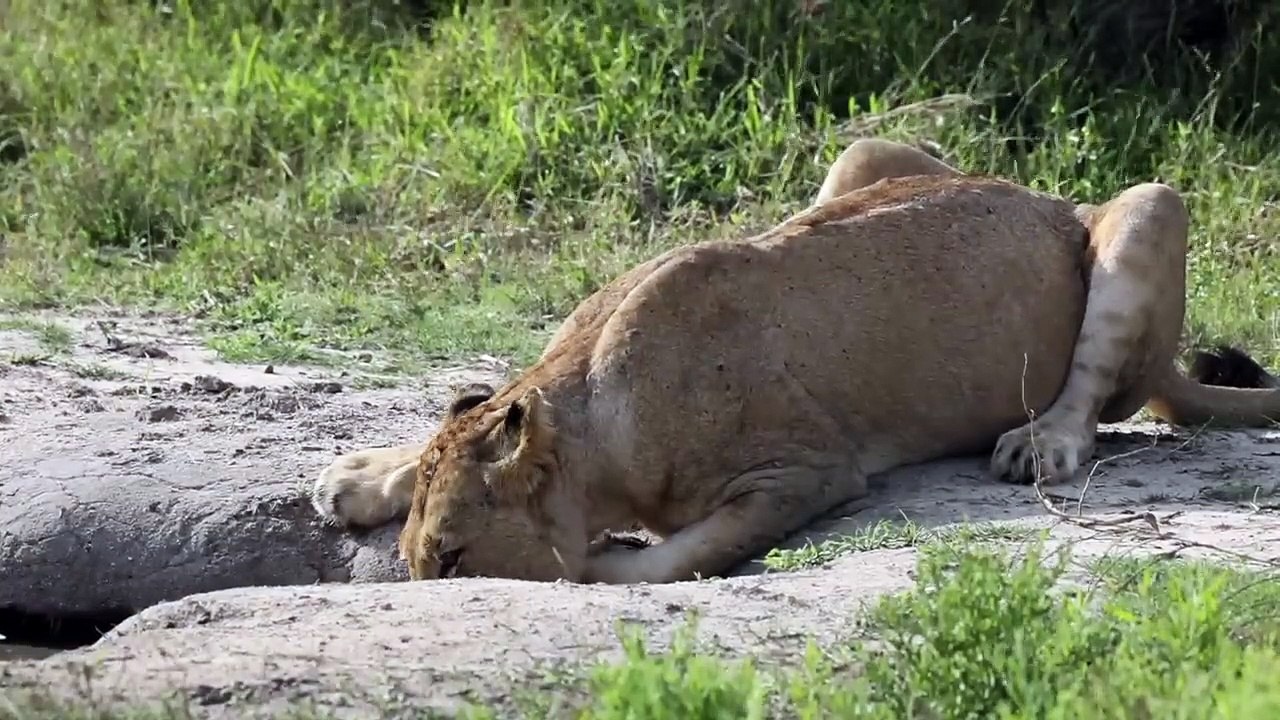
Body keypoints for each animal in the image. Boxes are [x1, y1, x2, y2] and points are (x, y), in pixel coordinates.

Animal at [311, 138, 1280, 585]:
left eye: (452, 558)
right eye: (417, 554)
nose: (422, 582)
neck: (589, 412)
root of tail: (1051, 200)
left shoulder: (807, 470)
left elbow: (676, 557)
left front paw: (593, 565)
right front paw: (359, 476)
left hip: (1149, 206)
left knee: (1093, 393)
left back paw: (1040, 444)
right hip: (861, 153)